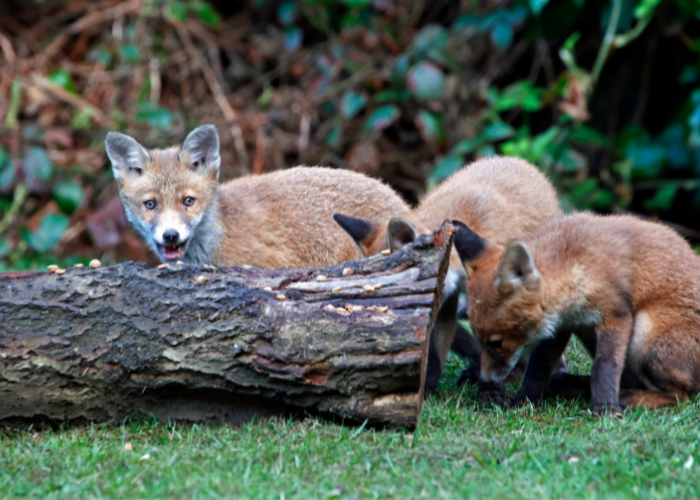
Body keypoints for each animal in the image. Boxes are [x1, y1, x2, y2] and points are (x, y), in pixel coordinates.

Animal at [454, 213, 700, 412]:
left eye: (496, 343)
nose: (485, 380)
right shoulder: (561, 325)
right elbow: (538, 368)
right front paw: (523, 401)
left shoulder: (616, 313)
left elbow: (604, 365)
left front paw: (605, 408)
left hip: (643, 336)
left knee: (681, 396)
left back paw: (623, 397)